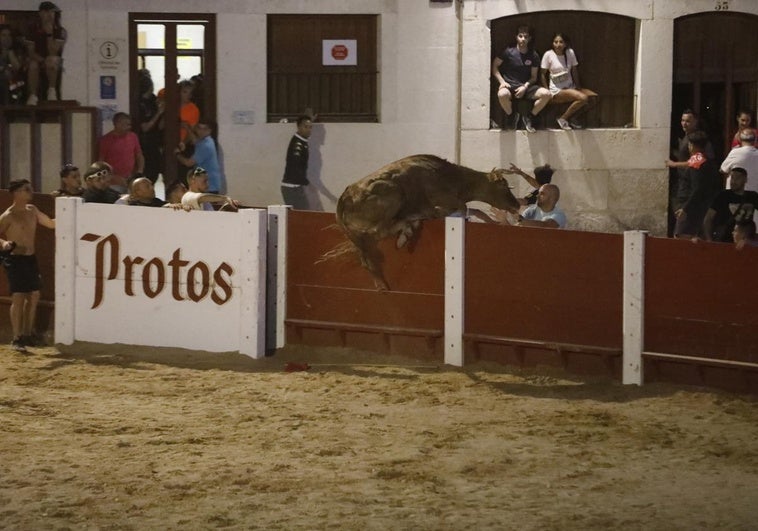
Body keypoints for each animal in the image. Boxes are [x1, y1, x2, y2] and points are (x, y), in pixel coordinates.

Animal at [320, 154, 524, 290]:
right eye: (504, 186)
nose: (517, 205)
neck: (451, 176)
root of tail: (345, 198)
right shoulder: (445, 199)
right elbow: (462, 208)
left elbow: (473, 209)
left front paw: (491, 220)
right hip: (394, 196)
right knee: (381, 230)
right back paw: (406, 231)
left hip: (359, 237)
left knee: (367, 259)